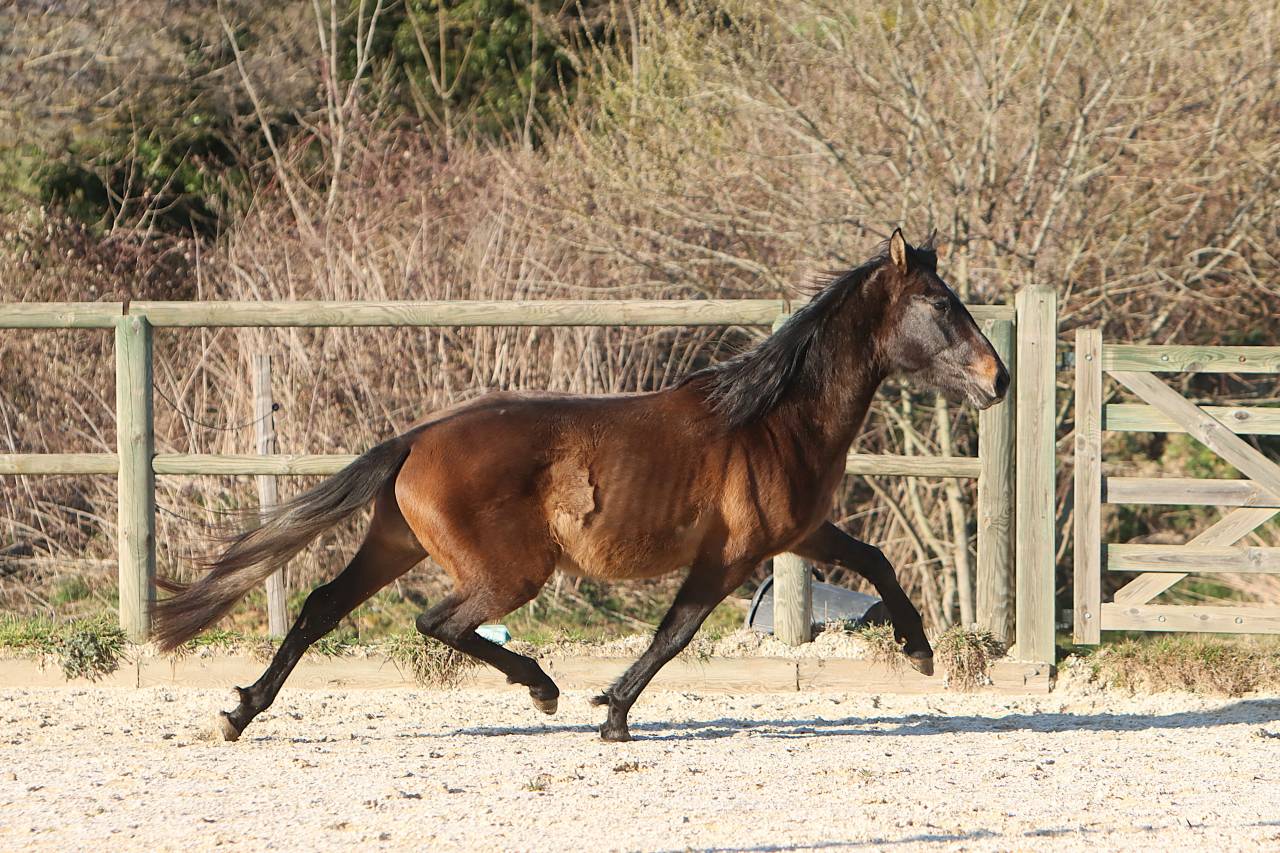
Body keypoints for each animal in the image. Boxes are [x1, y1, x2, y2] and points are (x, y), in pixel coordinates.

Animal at [153, 229, 1009, 743]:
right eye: (940, 303)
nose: (998, 380)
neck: (772, 418)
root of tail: (414, 439)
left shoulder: (800, 532)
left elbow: (875, 561)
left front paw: (919, 649)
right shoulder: (731, 554)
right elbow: (674, 632)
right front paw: (614, 712)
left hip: (394, 544)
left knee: (321, 607)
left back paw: (239, 712)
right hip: (509, 572)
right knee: (438, 621)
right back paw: (543, 687)